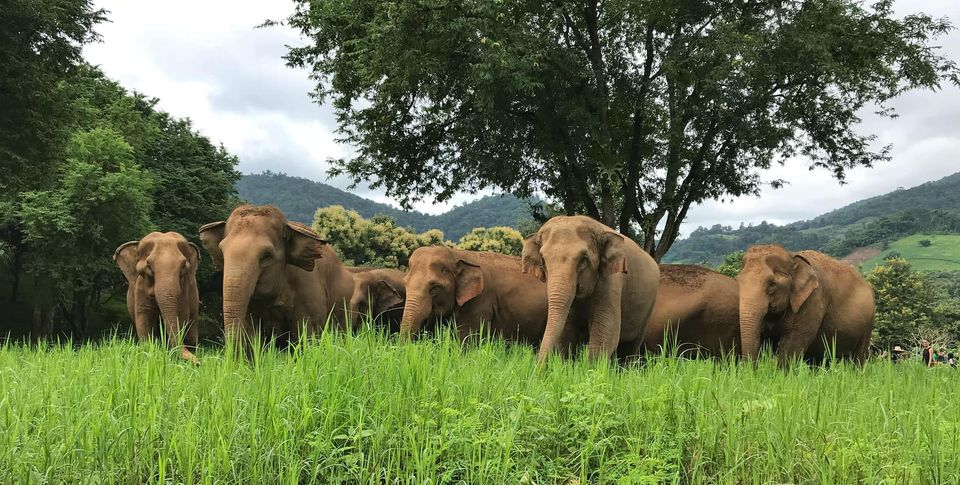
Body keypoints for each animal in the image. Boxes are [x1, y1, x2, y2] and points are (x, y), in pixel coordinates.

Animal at [114, 232, 201, 364]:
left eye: (183, 267)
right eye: (149, 265)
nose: (198, 363)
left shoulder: (186, 289)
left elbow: (181, 316)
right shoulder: (140, 287)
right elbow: (143, 318)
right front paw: (151, 354)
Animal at [520, 216, 664, 364]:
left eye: (584, 259)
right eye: (543, 260)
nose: (537, 367)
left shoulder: (611, 281)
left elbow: (606, 333)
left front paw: (591, 369)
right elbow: (566, 334)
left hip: (648, 308)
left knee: (630, 347)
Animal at [736, 244, 876, 364]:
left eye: (772, 284)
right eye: (738, 281)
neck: (792, 256)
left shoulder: (813, 299)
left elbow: (794, 341)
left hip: (868, 324)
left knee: (858, 358)